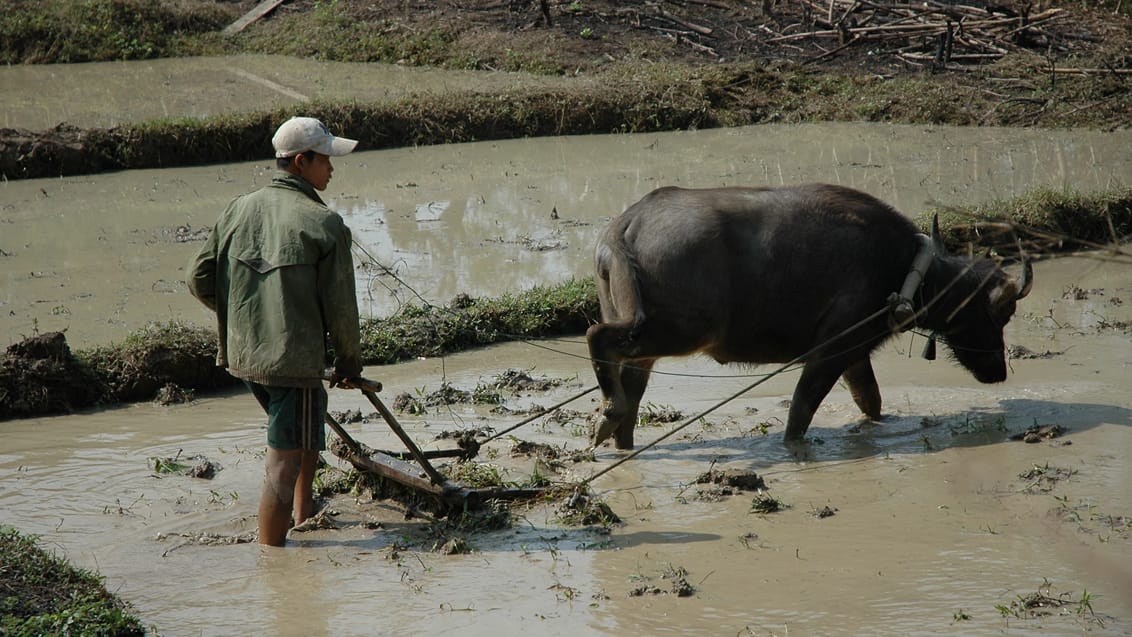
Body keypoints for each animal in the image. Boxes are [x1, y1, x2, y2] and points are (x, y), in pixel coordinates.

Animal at [588, 183, 1032, 448]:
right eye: (1001, 312)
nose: (998, 371)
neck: (906, 269)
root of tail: (627, 223)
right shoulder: (833, 348)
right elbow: (802, 408)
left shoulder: (855, 353)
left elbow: (870, 400)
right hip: (680, 330)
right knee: (599, 338)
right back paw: (609, 411)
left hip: (641, 331)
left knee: (631, 391)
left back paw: (618, 438)